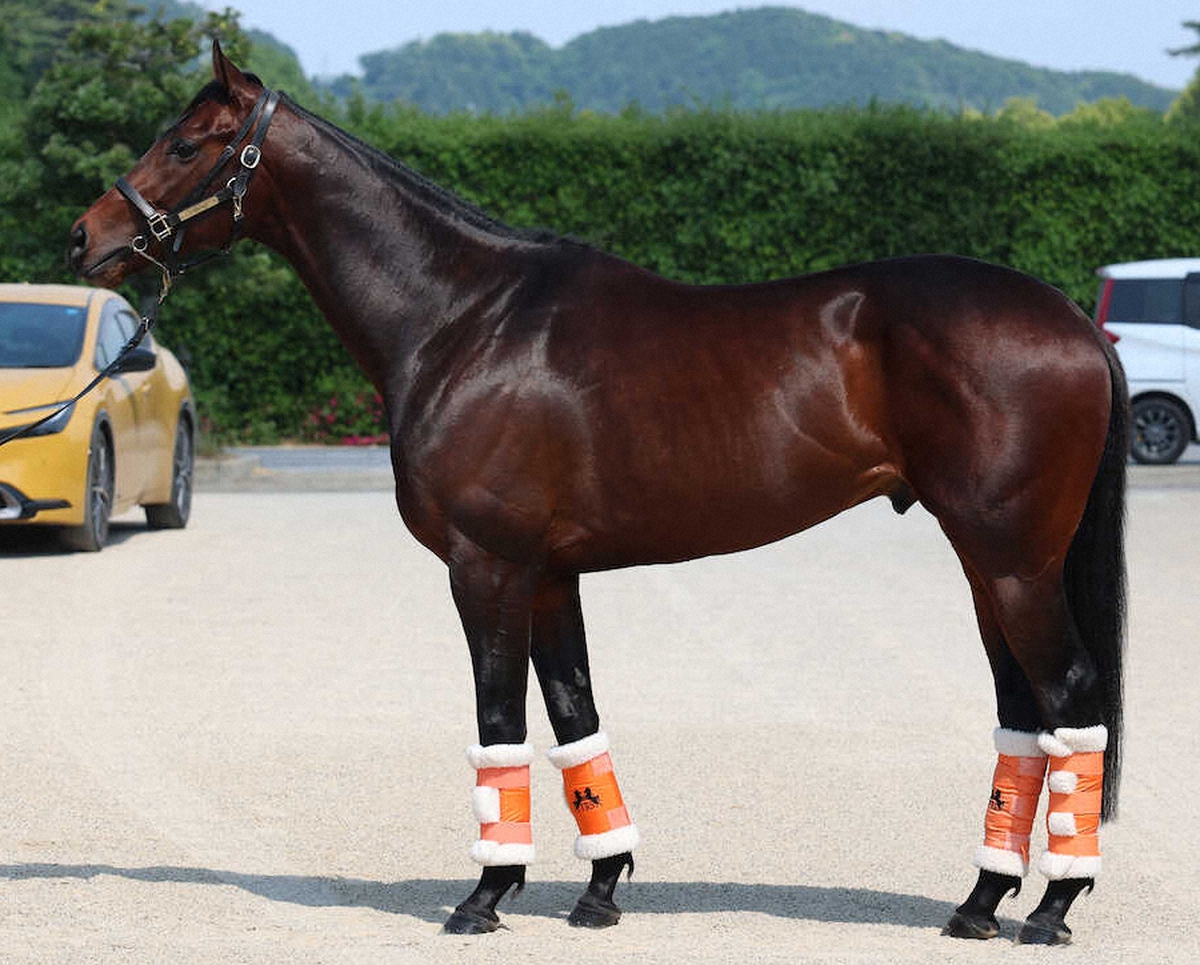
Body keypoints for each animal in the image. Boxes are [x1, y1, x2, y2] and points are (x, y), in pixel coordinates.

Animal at [69, 42, 1127, 944]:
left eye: (187, 142)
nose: (86, 236)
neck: (463, 317)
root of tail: (1076, 321)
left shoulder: (486, 568)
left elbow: (500, 723)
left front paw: (486, 893)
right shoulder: (548, 575)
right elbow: (577, 717)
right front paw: (600, 888)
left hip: (1012, 561)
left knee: (1073, 697)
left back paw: (1052, 906)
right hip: (989, 566)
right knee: (1023, 712)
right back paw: (981, 900)